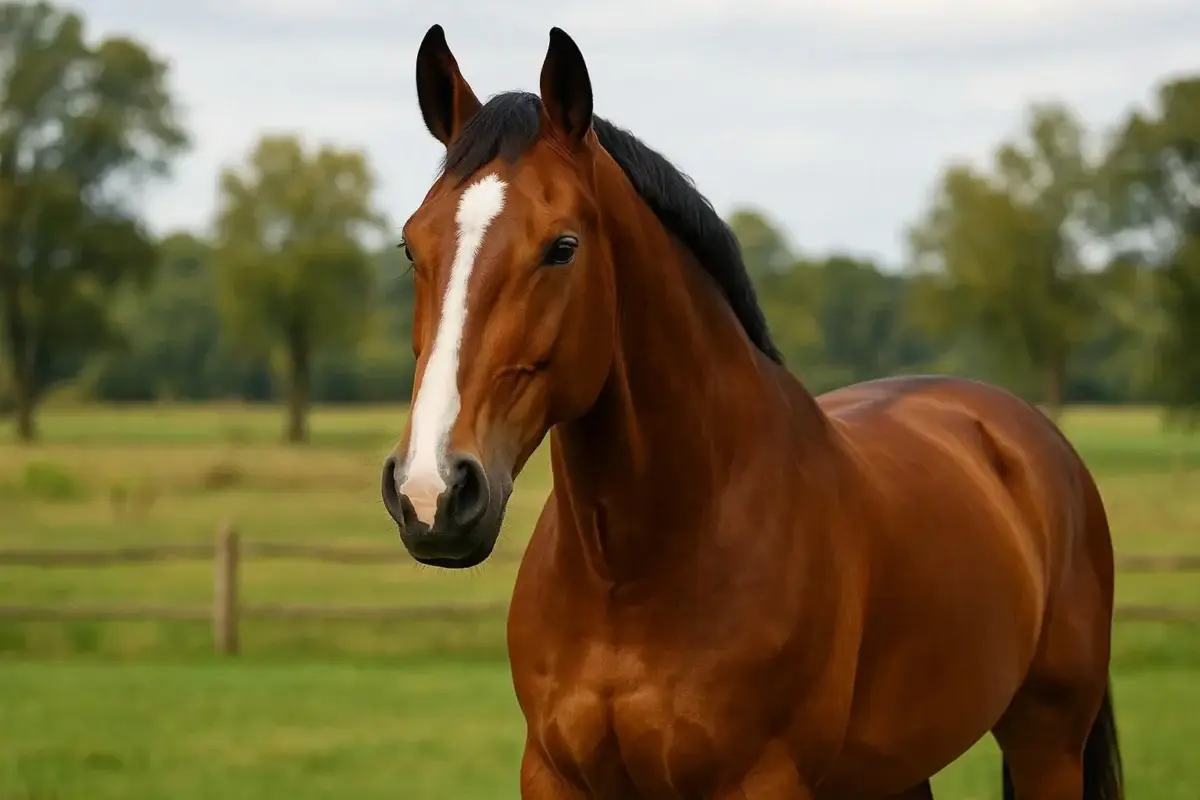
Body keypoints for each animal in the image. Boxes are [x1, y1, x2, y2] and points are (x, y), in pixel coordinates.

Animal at [381, 24, 1123, 800]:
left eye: (562, 247)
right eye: (411, 245)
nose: (432, 491)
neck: (636, 573)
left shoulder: (762, 779)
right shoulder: (556, 777)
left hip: (1047, 744)